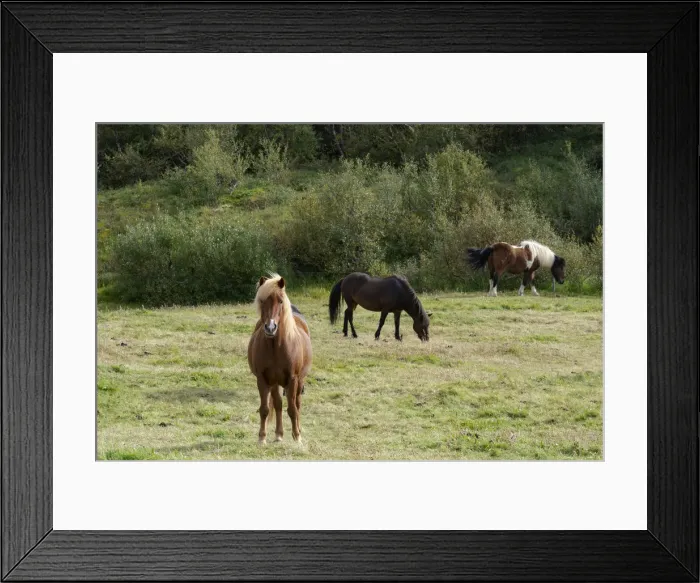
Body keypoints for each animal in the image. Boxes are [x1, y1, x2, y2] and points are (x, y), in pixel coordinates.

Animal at [247, 273, 312, 444]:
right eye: (262, 301)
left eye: (281, 301)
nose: (270, 328)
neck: (276, 348)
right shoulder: (263, 379)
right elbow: (265, 409)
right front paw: (262, 438)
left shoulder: (293, 379)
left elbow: (293, 409)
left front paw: (297, 437)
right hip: (275, 382)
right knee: (277, 404)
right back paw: (278, 434)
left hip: (299, 381)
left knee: (297, 403)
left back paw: (298, 430)